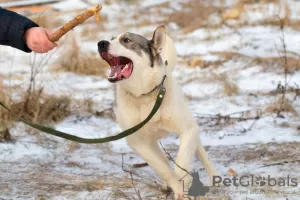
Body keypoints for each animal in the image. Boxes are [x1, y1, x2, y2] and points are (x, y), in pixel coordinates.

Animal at [98, 25, 218, 199]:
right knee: (163, 160)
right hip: (151, 142)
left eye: (126, 40)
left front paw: (185, 184)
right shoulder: (138, 142)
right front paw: (178, 189)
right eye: (111, 38)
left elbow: (180, 164)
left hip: (191, 126)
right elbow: (163, 169)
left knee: (201, 152)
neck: (144, 95)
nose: (101, 43)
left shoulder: (187, 129)